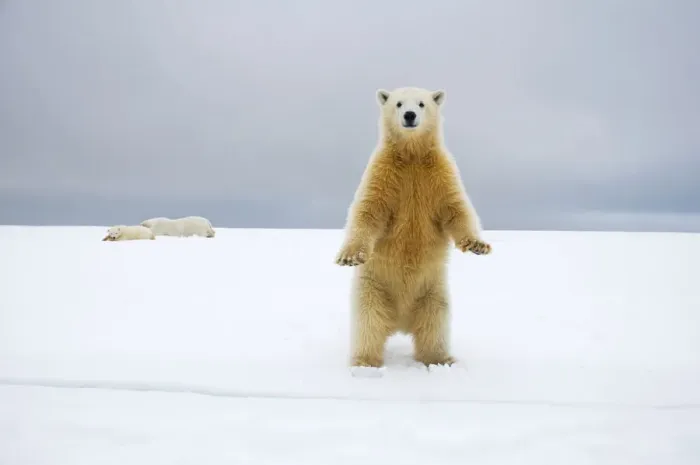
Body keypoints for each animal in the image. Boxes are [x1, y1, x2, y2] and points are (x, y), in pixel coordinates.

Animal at [334, 86, 492, 370]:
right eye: (398, 103)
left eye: (421, 103)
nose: (409, 115)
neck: (411, 156)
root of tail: (399, 322)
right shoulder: (383, 173)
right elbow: (368, 211)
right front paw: (349, 256)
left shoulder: (439, 174)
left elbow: (456, 209)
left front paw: (478, 245)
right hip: (373, 288)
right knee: (368, 324)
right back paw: (365, 362)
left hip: (432, 292)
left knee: (435, 324)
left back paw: (440, 360)